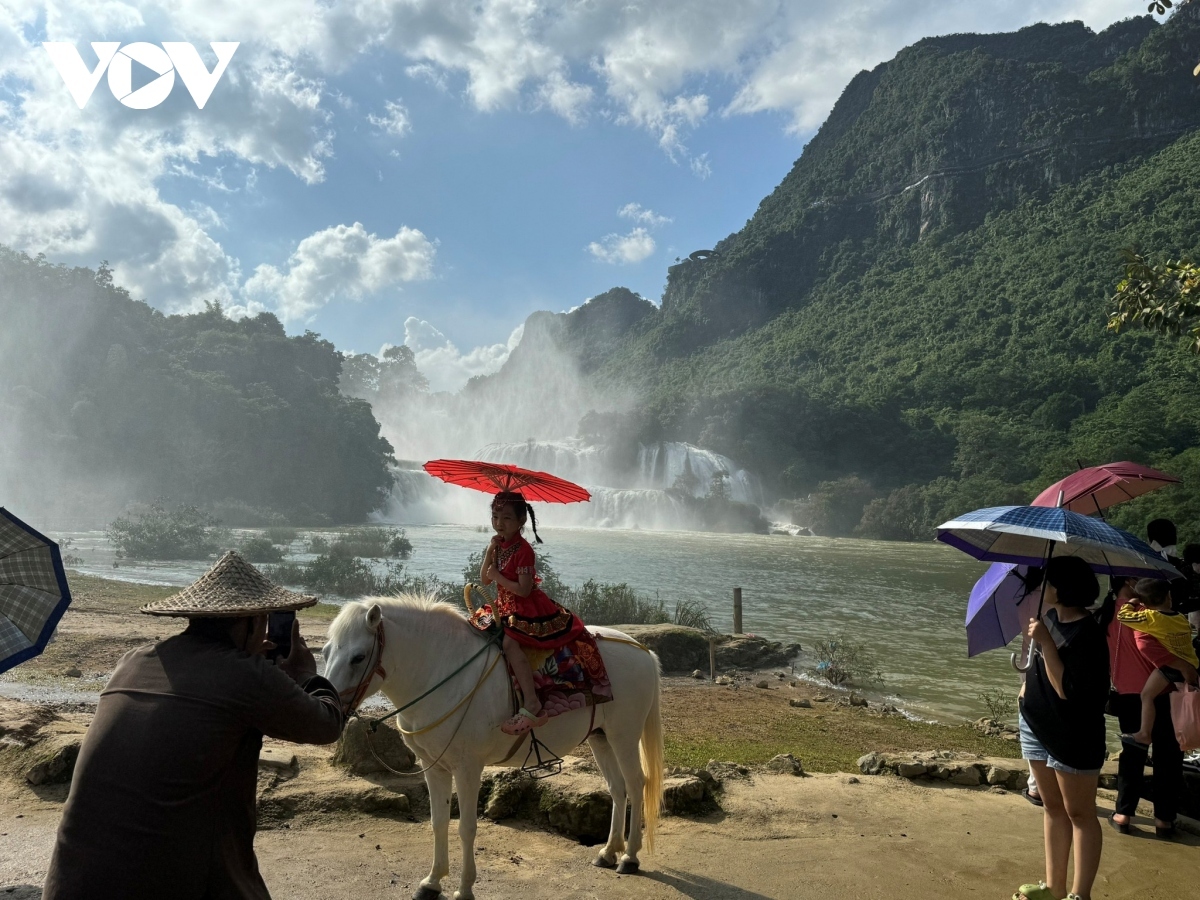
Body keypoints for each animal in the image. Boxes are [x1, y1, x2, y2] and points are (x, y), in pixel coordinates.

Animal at [324, 595, 667, 897]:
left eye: (358, 657)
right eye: (326, 652)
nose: (331, 710)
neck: (442, 673)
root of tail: (643, 652)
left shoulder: (467, 769)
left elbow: (466, 827)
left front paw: (464, 889)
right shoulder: (434, 768)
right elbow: (438, 822)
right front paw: (432, 882)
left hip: (624, 735)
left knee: (636, 784)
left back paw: (629, 857)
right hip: (600, 738)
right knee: (617, 788)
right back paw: (608, 852)